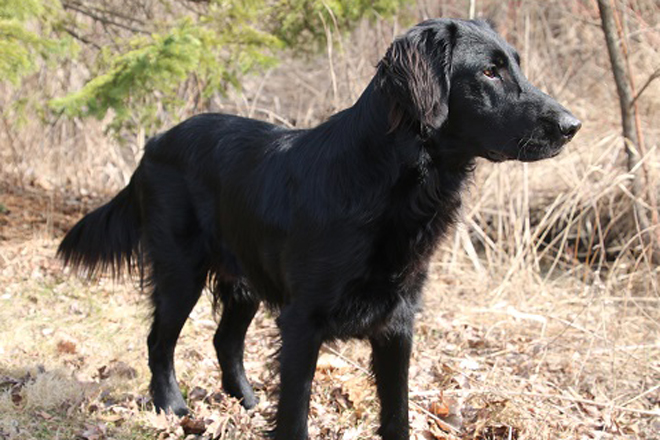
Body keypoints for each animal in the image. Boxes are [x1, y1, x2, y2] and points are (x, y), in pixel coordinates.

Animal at [59, 18, 580, 440]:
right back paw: (171, 407)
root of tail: (154, 142)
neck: (391, 182)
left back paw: (248, 404)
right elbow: (295, 417)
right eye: (489, 72)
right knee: (160, 341)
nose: (572, 125)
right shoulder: (302, 322)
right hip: (179, 271)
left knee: (225, 341)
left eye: (516, 66)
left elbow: (396, 414)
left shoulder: (398, 322)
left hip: (244, 280)